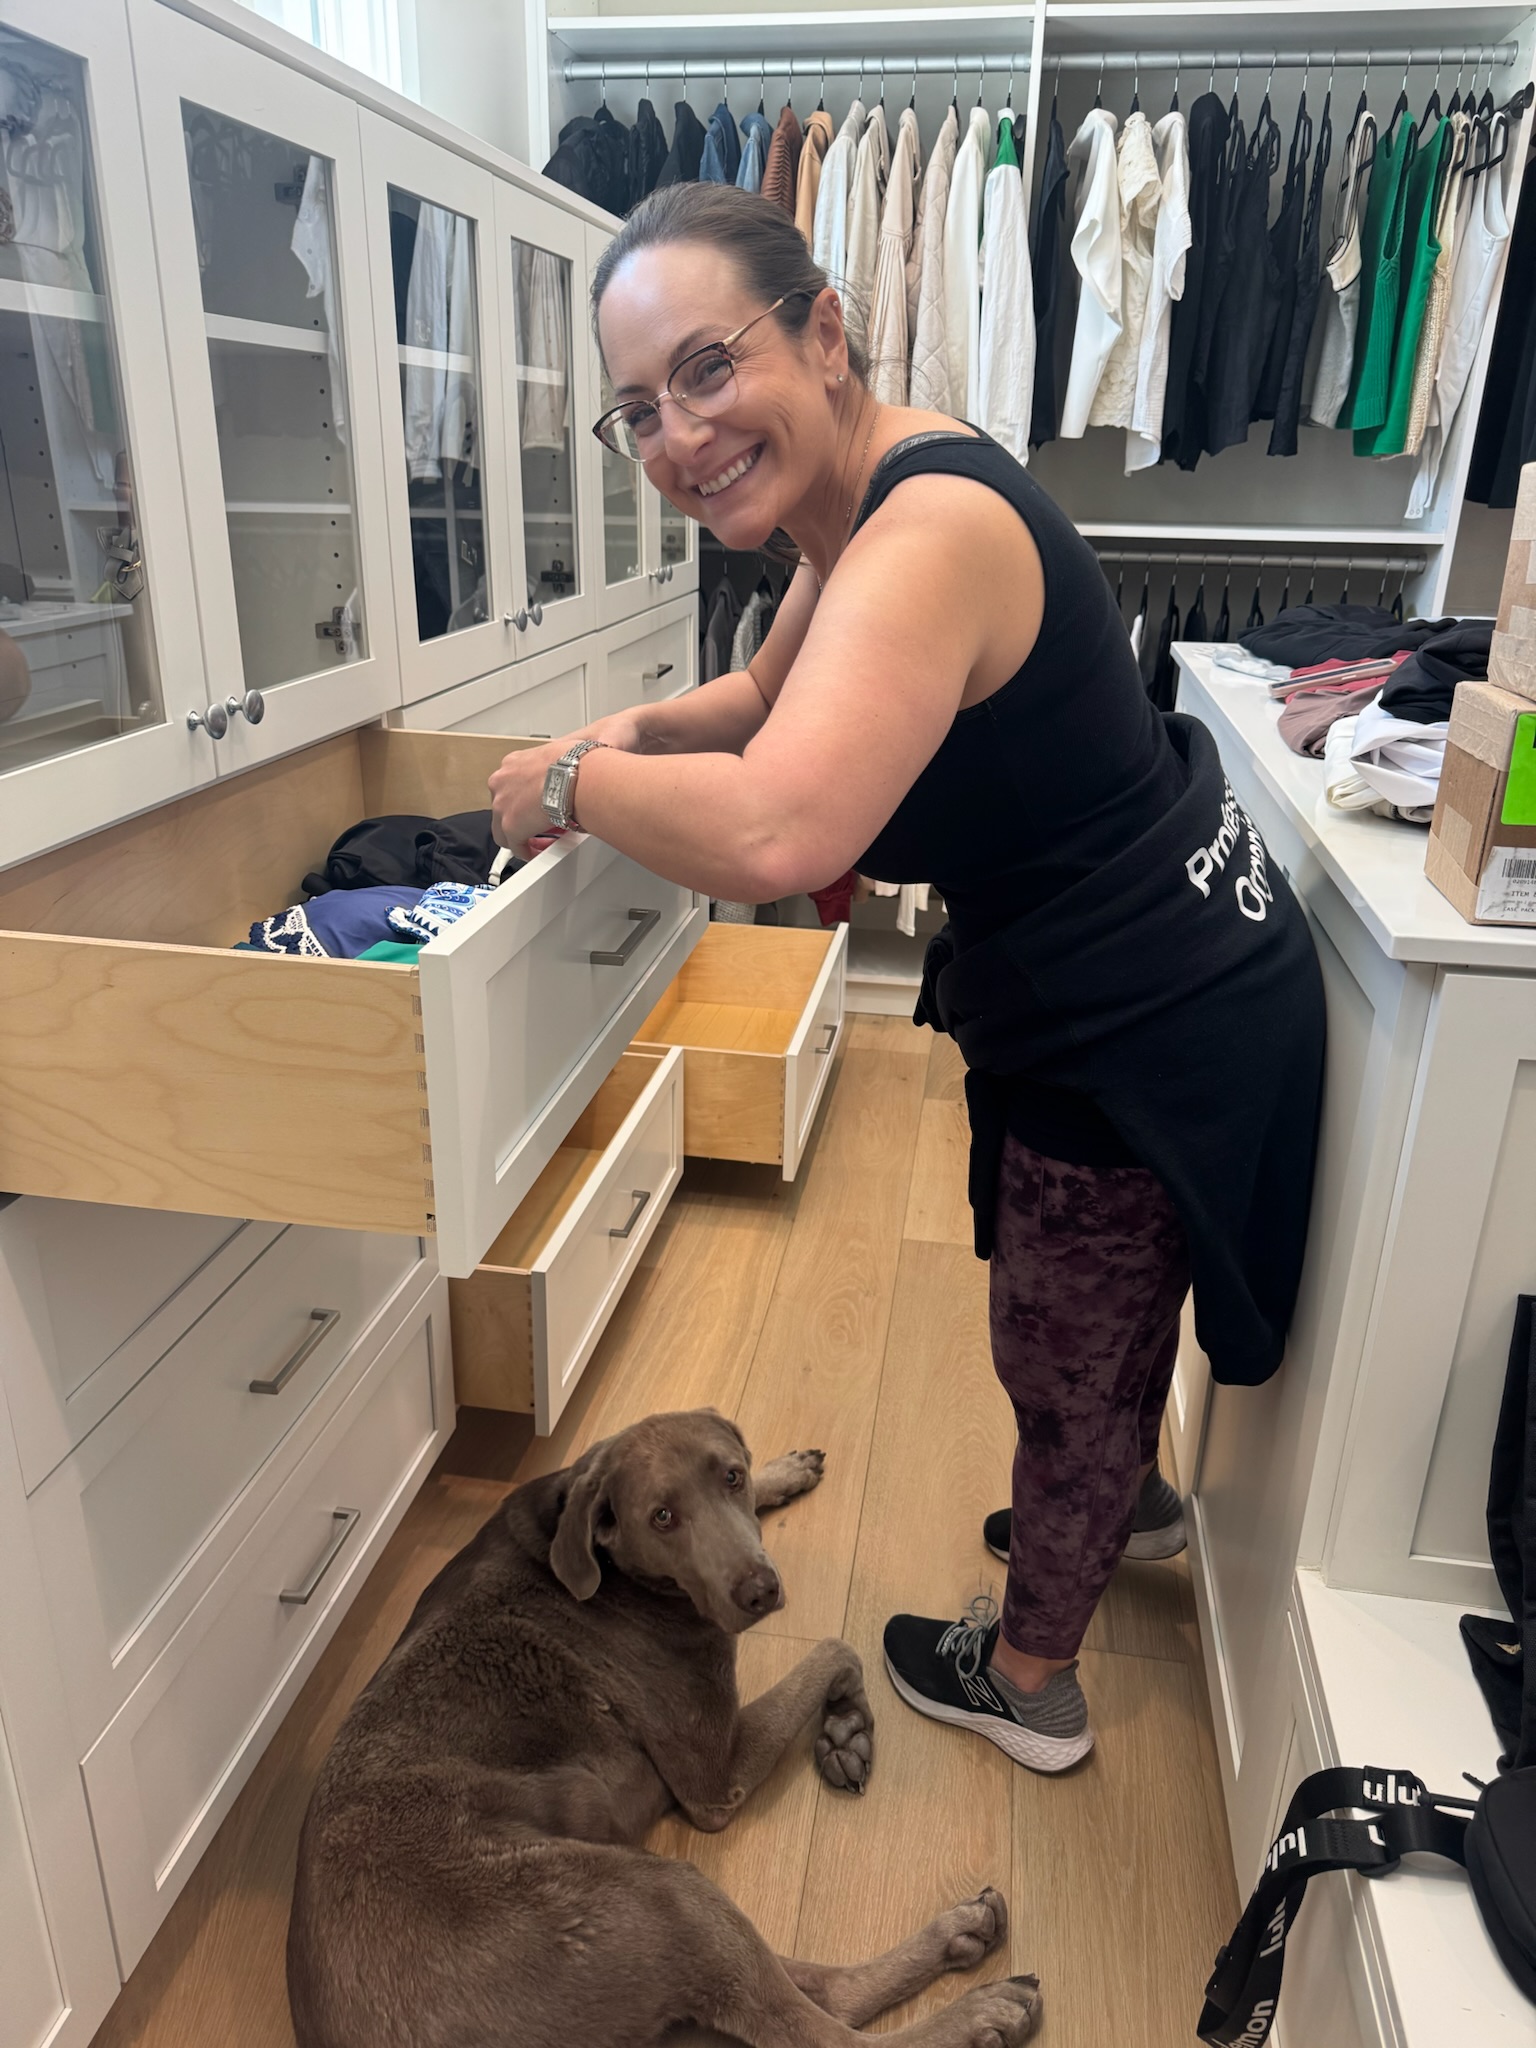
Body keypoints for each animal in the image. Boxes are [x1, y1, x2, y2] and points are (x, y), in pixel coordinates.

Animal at [287, 1408, 1041, 2047]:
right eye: (662, 1517)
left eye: (730, 1476)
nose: (759, 1591)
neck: (592, 1557)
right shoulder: (715, 1775)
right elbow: (834, 1649)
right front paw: (846, 1724)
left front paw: (785, 1470)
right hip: (654, 1894)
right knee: (818, 2029)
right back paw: (982, 2011)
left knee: (814, 1990)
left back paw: (962, 1935)